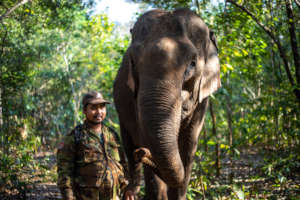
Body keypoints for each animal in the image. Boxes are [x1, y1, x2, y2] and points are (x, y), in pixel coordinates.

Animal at [113, 7, 220, 200]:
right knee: (127, 143)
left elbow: (189, 145)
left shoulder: (202, 102)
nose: (142, 152)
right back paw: (131, 191)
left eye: (192, 63)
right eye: (132, 62)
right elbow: (144, 136)